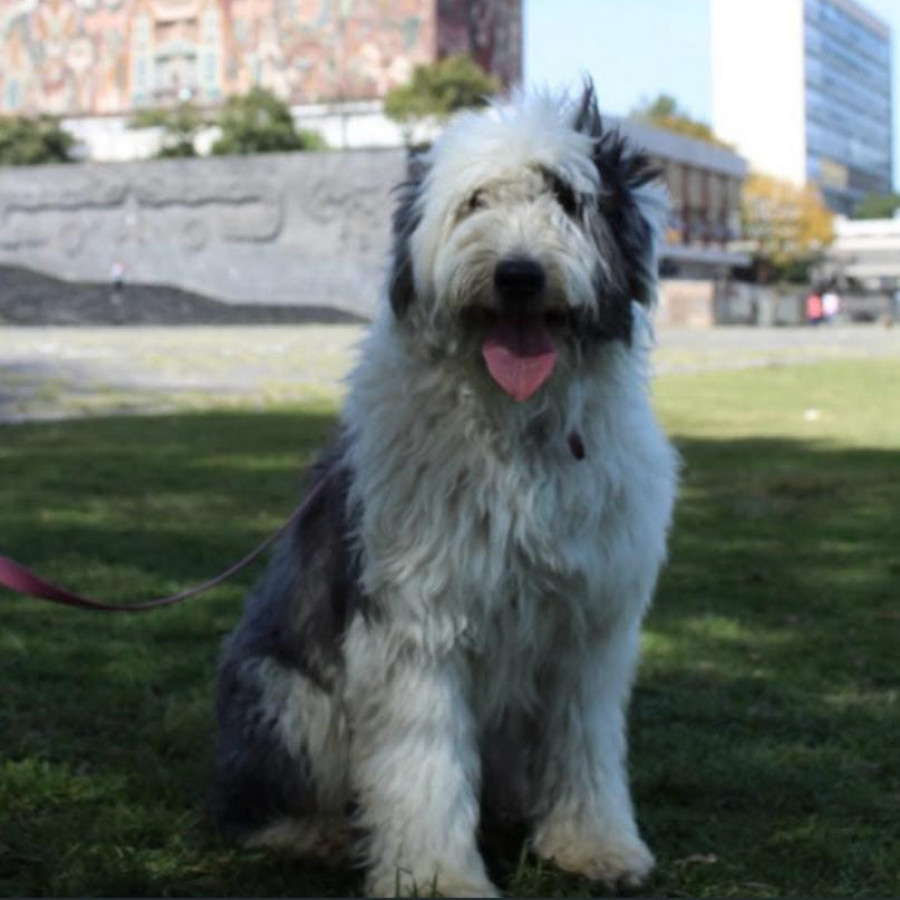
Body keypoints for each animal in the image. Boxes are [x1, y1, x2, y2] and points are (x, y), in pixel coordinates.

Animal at [211, 82, 676, 892]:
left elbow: (584, 743)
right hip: (285, 695)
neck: (517, 428)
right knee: (258, 799)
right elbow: (423, 766)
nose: (518, 273)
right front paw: (436, 878)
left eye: (565, 197)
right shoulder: (414, 620)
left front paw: (595, 846)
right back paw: (313, 833)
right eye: (476, 201)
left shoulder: (591, 627)